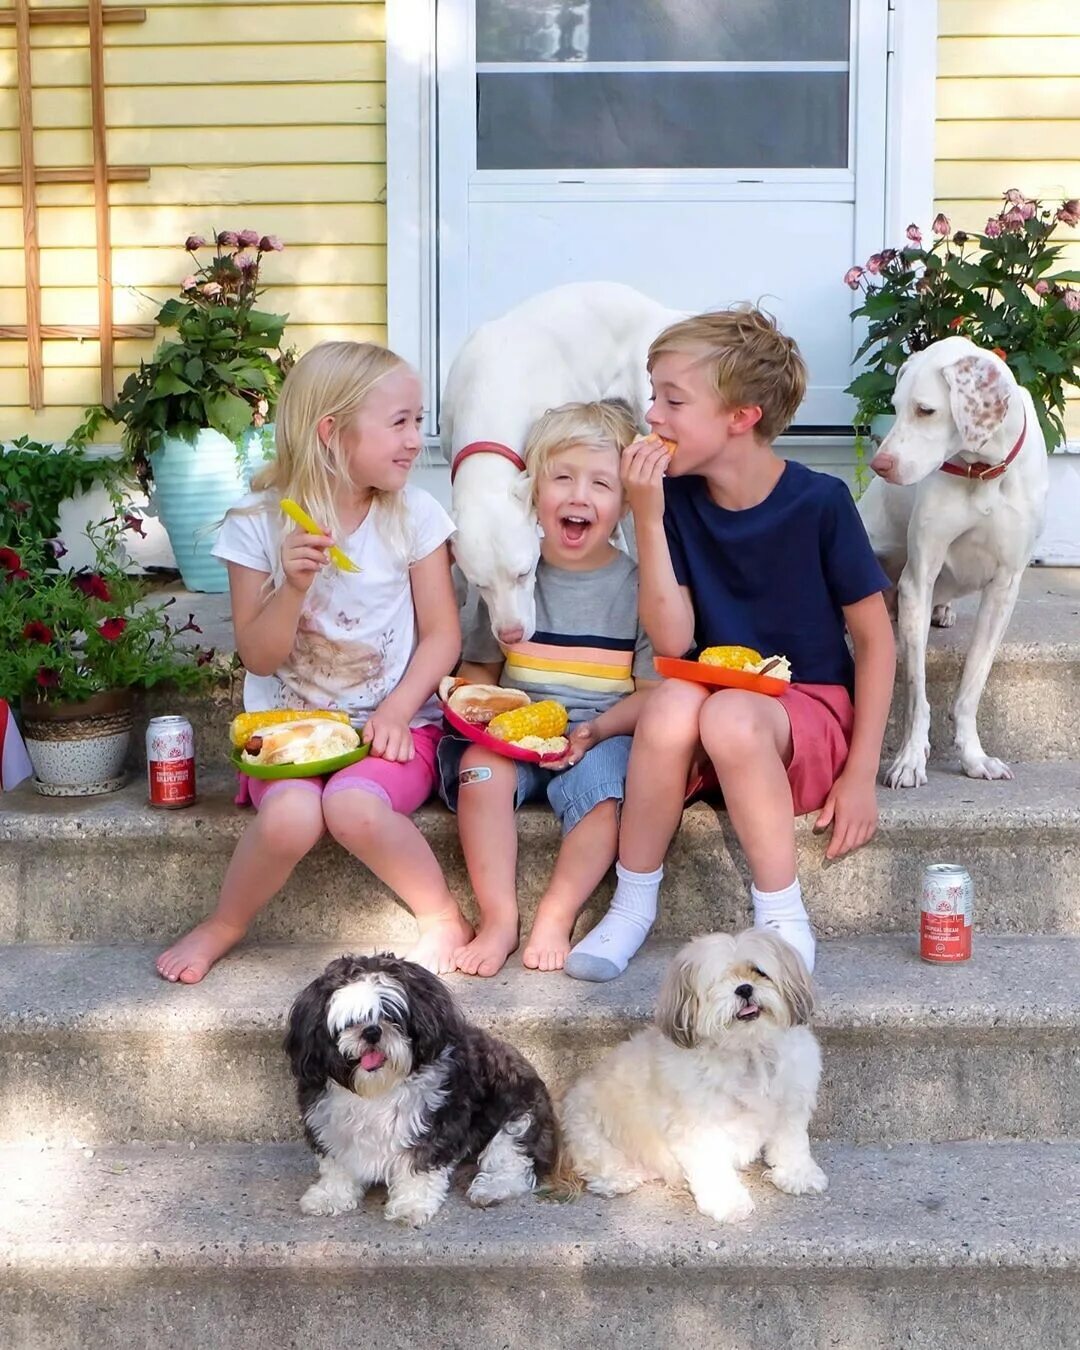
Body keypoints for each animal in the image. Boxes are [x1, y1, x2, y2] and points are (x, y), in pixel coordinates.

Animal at [556, 928, 826, 1225]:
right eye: (718, 981)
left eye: (759, 972)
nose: (744, 988)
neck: (747, 1049)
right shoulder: (699, 1126)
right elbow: (713, 1166)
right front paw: (728, 1202)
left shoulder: (791, 1104)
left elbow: (791, 1143)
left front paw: (798, 1175)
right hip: (589, 1129)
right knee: (597, 1161)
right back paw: (620, 1176)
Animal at [858, 330, 1047, 788]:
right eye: (894, 408)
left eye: (925, 410)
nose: (880, 464)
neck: (982, 472)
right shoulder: (918, 578)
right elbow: (917, 693)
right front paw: (910, 759)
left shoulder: (1004, 587)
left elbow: (971, 688)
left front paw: (974, 757)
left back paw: (942, 612)